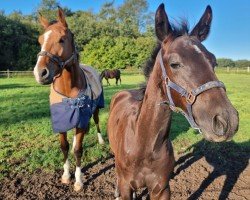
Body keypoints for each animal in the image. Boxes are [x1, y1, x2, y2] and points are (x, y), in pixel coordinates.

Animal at [33, 8, 104, 192]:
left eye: (62, 39)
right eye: (40, 40)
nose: (40, 73)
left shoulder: (82, 119)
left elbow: (78, 150)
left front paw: (78, 181)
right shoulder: (62, 121)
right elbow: (64, 147)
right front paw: (66, 175)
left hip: (95, 110)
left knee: (97, 122)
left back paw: (101, 141)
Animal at [108, 3, 239, 199]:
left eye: (214, 62)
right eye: (174, 64)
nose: (228, 120)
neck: (143, 146)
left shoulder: (162, 189)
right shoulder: (126, 188)